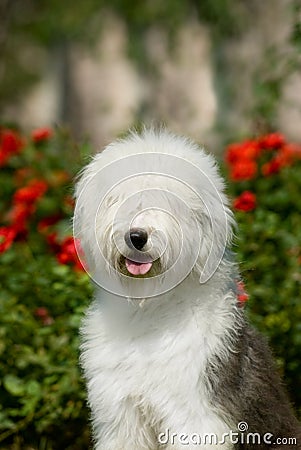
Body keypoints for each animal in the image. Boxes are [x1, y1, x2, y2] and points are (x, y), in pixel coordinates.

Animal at [73, 128, 300, 448]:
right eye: (118, 200)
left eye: (166, 204)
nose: (136, 236)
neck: (149, 307)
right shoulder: (122, 414)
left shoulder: (197, 412)